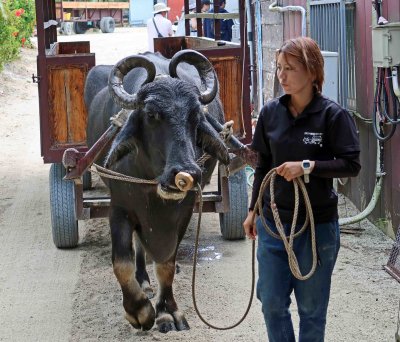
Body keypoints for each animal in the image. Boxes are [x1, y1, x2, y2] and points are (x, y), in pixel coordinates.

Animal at [85, 49, 230, 332]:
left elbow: (167, 264)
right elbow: (122, 263)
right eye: (151, 115)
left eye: (196, 115)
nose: (187, 172)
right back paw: (143, 281)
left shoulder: (183, 213)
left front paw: (167, 312)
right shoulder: (119, 207)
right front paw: (139, 311)